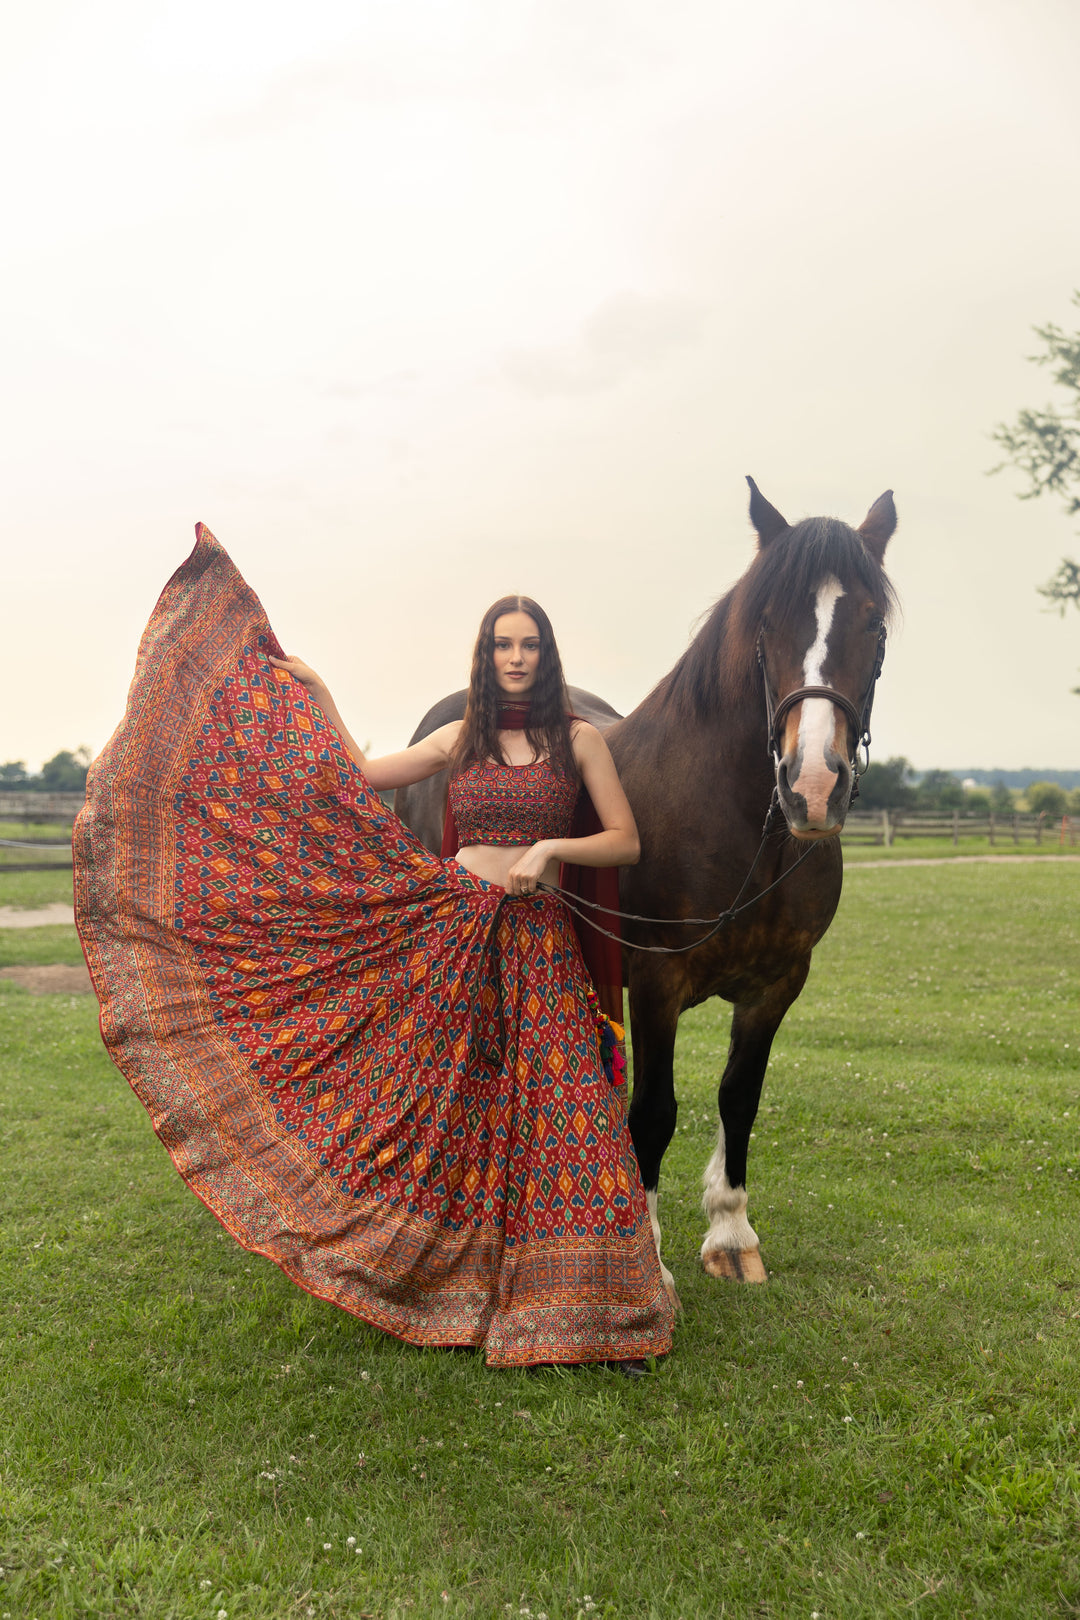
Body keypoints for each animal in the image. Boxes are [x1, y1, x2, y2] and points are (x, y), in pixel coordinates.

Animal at [395, 479, 893, 1302]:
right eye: (767, 624)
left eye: (874, 623)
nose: (814, 786)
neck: (741, 827)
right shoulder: (659, 979)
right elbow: (654, 1111)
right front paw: (646, 1265)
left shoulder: (777, 983)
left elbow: (739, 1099)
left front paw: (731, 1234)